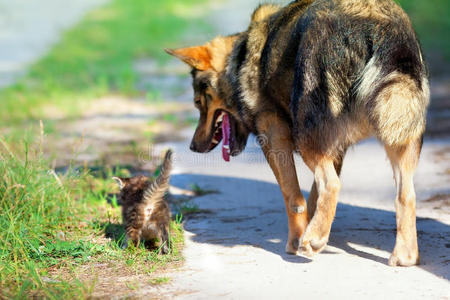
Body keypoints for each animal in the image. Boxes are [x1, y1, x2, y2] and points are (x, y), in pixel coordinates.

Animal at [165, 0, 428, 268]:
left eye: (198, 103)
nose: (193, 147)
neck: (237, 60)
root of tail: (373, 24)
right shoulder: (335, 147)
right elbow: (311, 197)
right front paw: (310, 230)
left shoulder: (274, 137)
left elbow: (293, 197)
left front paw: (297, 241)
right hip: (400, 137)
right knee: (406, 196)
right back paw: (404, 255)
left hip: (306, 140)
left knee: (332, 184)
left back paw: (314, 239)